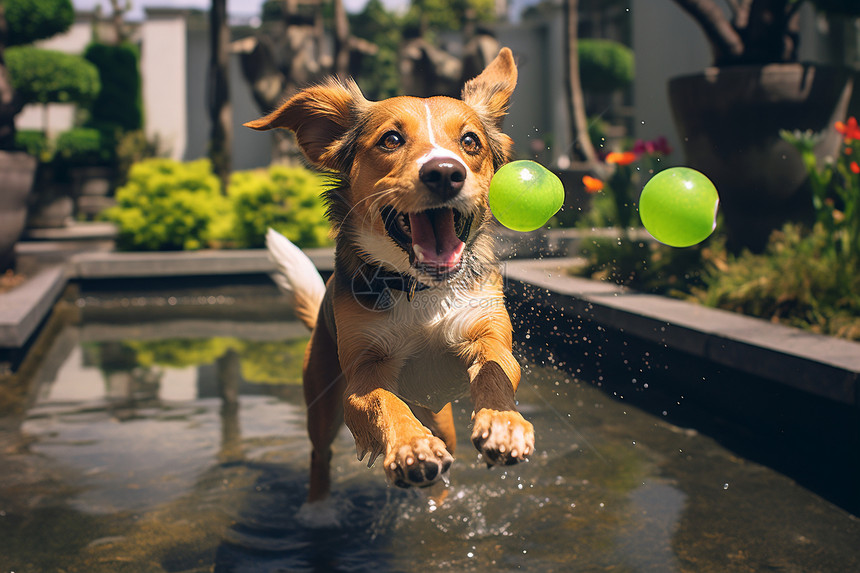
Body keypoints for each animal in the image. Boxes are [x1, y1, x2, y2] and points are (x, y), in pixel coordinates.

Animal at [245, 48, 536, 504]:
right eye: (391, 140)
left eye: (470, 141)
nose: (444, 172)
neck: (421, 286)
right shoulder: (362, 376)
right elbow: (384, 402)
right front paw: (410, 447)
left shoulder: (487, 333)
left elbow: (495, 369)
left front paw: (504, 424)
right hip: (321, 404)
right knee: (319, 457)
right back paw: (318, 509)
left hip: (441, 420)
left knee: (445, 458)